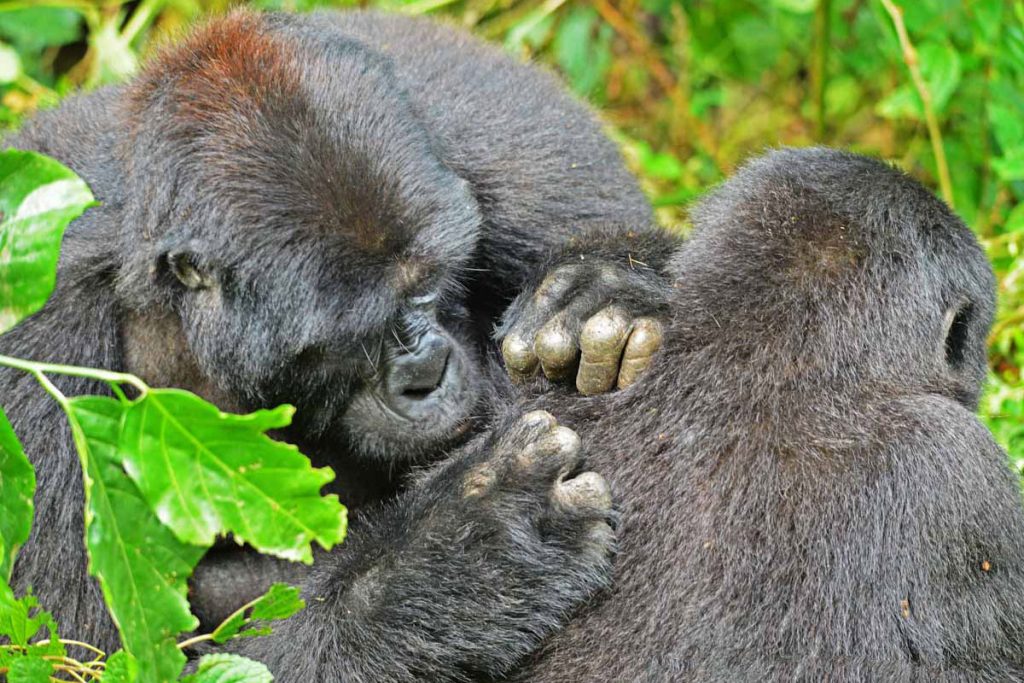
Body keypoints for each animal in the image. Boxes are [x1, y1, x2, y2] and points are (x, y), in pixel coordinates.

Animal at [0, 9, 682, 679]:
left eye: (430, 285)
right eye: (360, 330)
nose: (429, 373)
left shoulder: (497, 141)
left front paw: (606, 285)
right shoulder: (36, 336)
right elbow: (85, 654)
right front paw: (461, 556)